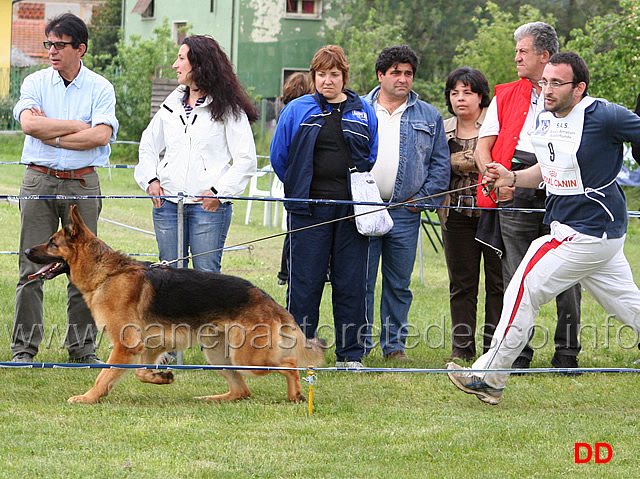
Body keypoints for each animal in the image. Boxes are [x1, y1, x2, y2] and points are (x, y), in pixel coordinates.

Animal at [25, 206, 324, 404]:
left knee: (289, 363)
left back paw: (296, 394)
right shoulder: (148, 347)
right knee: (242, 392)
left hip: (248, 359)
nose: (26, 250)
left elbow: (104, 376)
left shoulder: (126, 345)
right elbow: (141, 373)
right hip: (218, 356)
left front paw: (88, 398)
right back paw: (212, 398)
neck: (107, 274)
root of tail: (266, 298)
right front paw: (162, 378)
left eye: (52, 243)